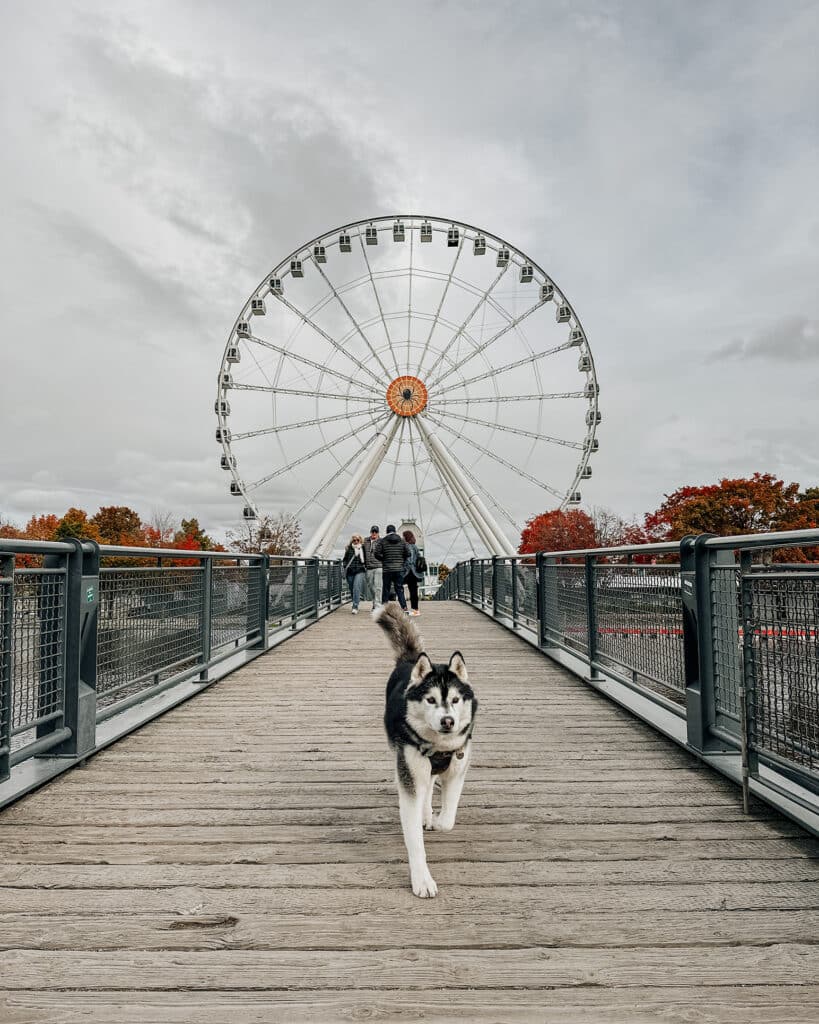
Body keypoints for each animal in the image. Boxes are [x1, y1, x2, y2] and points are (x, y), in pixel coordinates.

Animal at [372, 602, 477, 901]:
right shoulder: (409, 772)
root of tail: (409, 660)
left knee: (430, 786)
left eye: (455, 700)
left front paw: (437, 820)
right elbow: (414, 839)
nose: (448, 721)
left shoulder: (458, 768)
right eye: (430, 700)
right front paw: (422, 880)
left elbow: (448, 819)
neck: (438, 747)